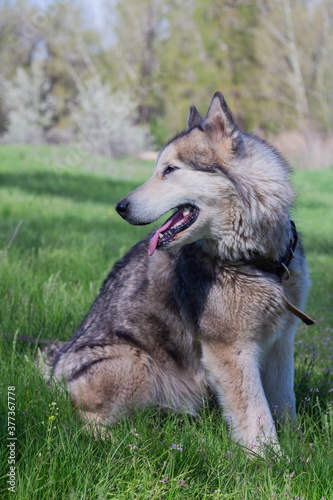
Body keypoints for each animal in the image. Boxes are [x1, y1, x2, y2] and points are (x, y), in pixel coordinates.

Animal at [43, 92, 312, 456]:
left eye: (170, 170)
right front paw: (270, 459)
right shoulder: (231, 350)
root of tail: (57, 366)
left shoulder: (281, 341)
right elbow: (256, 414)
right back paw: (123, 444)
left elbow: (285, 402)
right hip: (134, 361)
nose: (120, 207)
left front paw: (298, 447)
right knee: (85, 419)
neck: (259, 262)